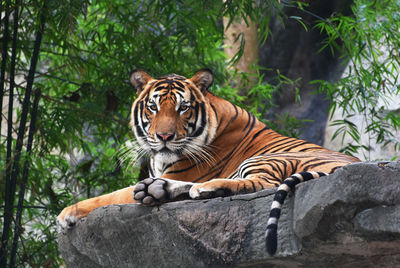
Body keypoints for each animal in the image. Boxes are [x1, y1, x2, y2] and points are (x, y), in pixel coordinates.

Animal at [56, 68, 360, 255]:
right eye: (153, 107)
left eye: (183, 107)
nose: (164, 136)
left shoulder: (182, 172)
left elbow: (111, 196)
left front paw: (66, 213)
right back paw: (158, 191)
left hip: (266, 159)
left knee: (262, 183)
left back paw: (199, 188)